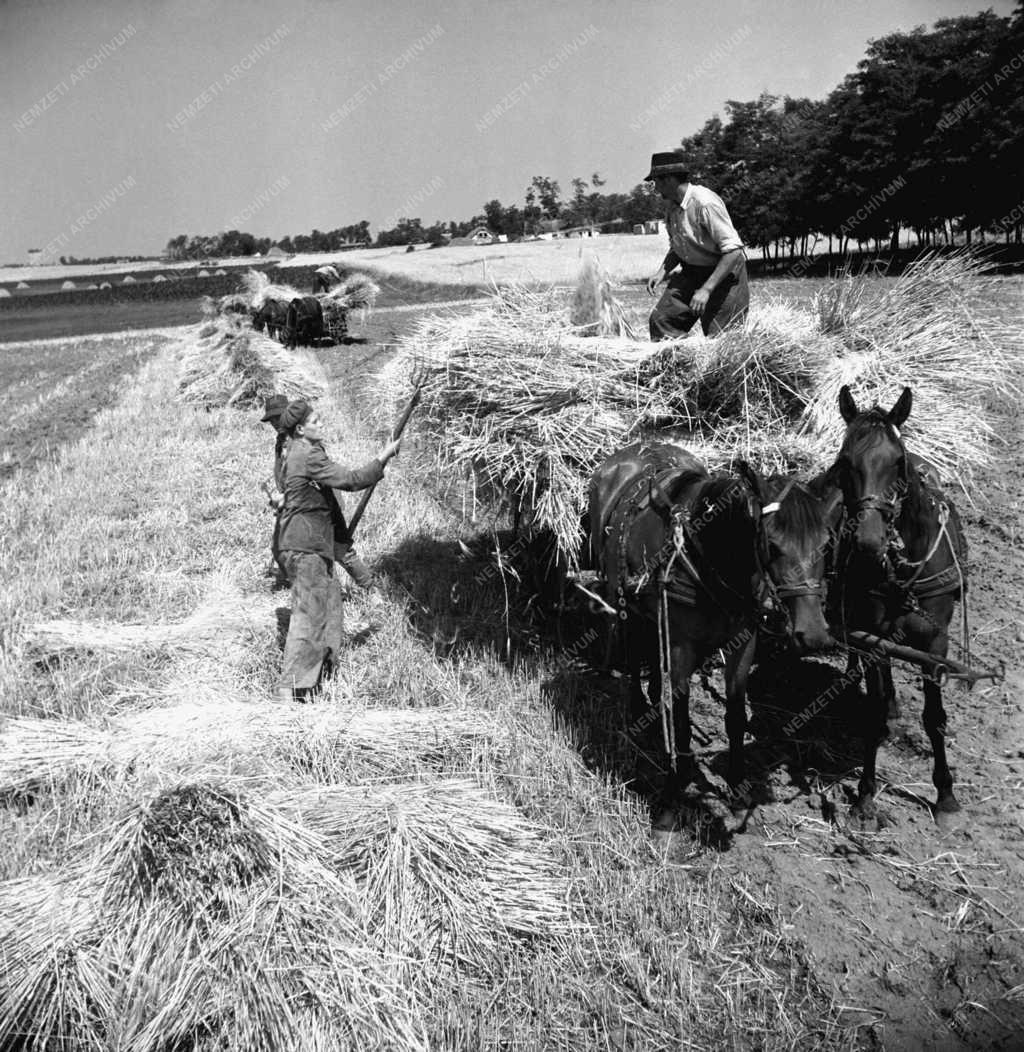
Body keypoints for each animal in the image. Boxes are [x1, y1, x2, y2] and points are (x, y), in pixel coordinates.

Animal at [589, 439, 833, 824]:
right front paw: (672, 794)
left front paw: (737, 784)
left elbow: (735, 715)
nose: (814, 635)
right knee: (630, 652)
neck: (713, 556)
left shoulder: (743, 642)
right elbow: (681, 715)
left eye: (825, 543)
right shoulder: (682, 645)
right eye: (773, 544)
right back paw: (639, 710)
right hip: (620, 597)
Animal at [825, 387, 964, 828]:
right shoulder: (873, 638)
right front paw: (866, 797)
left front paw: (946, 796)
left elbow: (935, 718)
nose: (869, 542)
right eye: (844, 461)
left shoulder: (935, 642)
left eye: (897, 462)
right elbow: (871, 712)